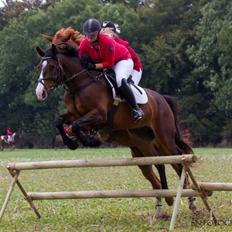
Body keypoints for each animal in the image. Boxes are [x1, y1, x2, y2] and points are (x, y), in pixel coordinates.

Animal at [35, 31, 197, 218]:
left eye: (52, 67)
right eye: (40, 67)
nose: (40, 93)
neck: (81, 83)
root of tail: (162, 99)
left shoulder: (100, 115)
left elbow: (76, 125)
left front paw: (89, 140)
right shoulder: (75, 114)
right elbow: (60, 121)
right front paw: (72, 142)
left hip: (164, 139)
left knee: (178, 161)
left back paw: (191, 201)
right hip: (142, 148)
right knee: (158, 168)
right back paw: (165, 203)